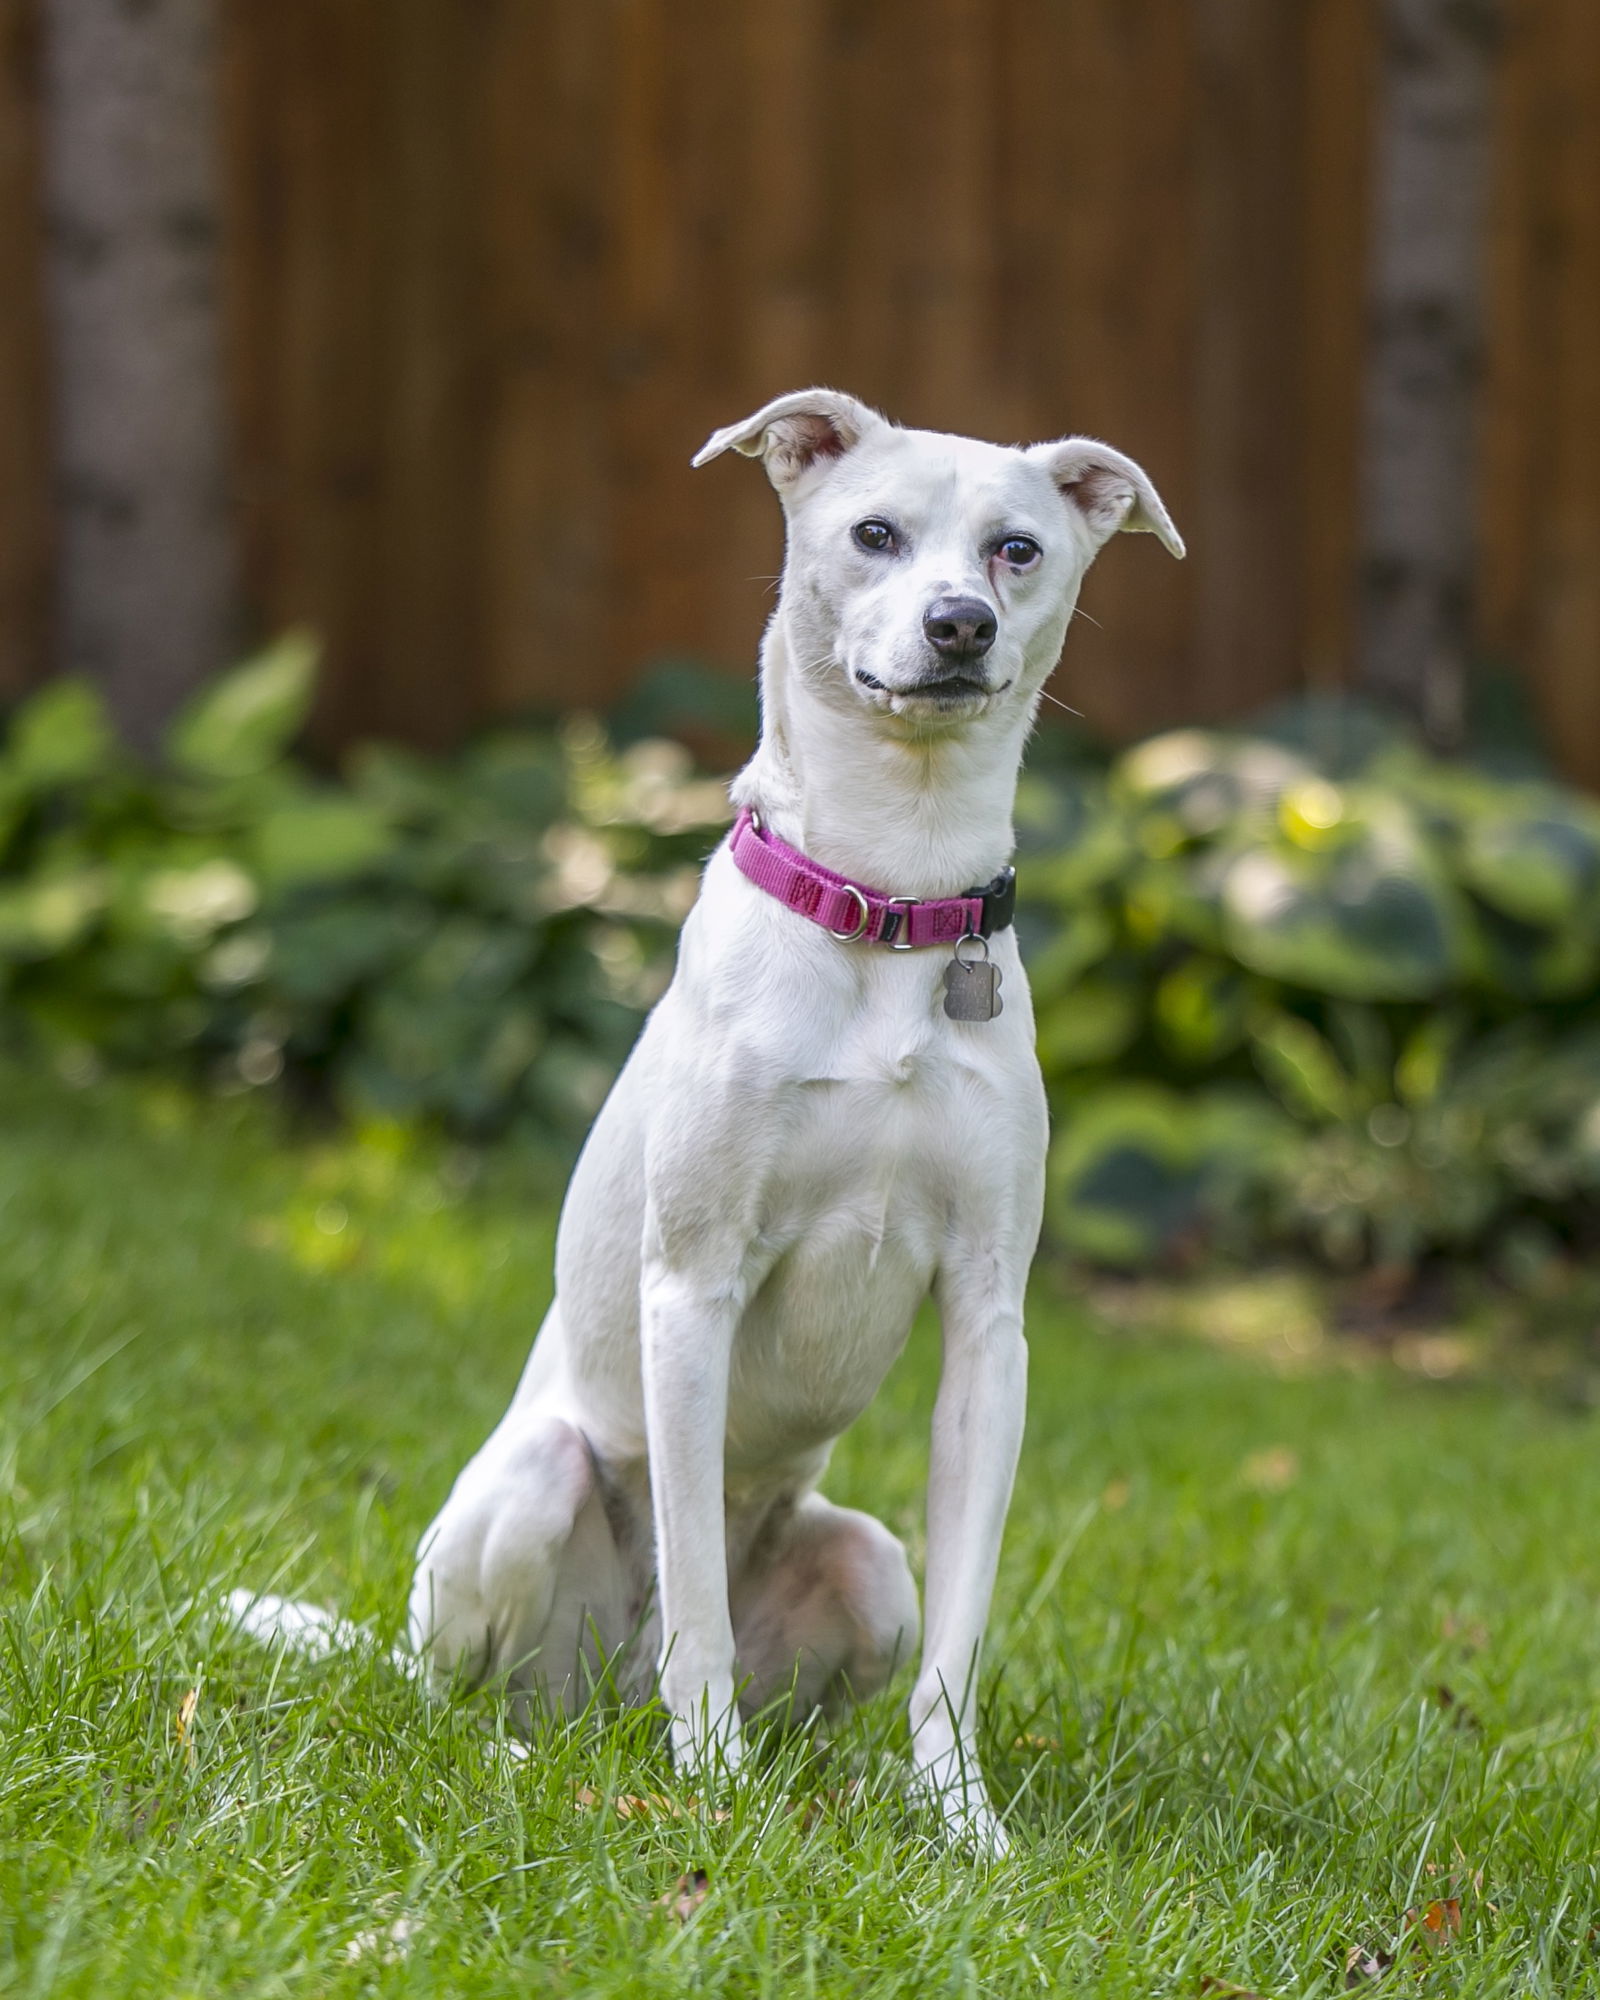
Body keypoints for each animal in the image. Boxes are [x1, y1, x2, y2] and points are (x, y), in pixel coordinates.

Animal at [404, 390, 1176, 1840]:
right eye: (874, 533)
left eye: (1018, 549)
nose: (959, 625)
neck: (888, 899)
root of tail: (603, 1702)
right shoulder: (693, 1288)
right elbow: (699, 1600)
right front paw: (711, 1781)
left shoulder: (989, 1326)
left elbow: (960, 1637)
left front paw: (961, 1821)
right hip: (532, 1495)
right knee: (491, 1691)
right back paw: (546, 1753)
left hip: (867, 1564)